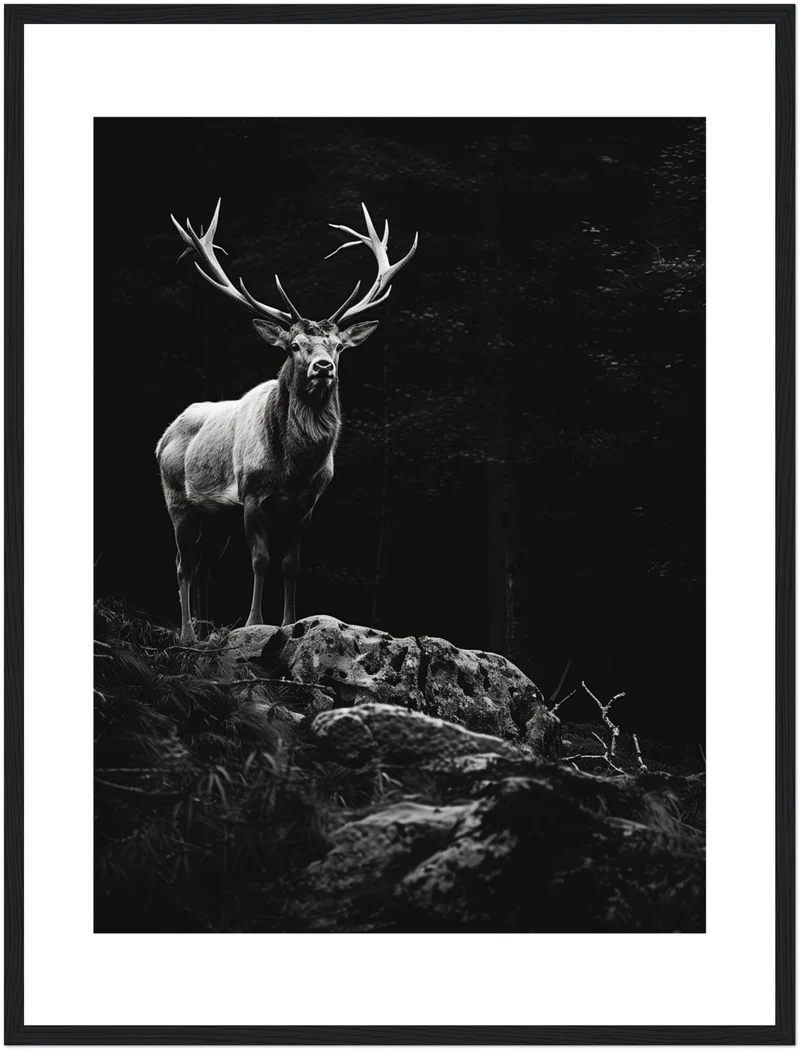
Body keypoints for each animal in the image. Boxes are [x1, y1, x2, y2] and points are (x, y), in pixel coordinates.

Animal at [156, 200, 417, 643]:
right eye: (294, 345)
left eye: (338, 346)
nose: (323, 366)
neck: (294, 468)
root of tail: (162, 436)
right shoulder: (251, 496)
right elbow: (261, 560)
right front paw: (253, 623)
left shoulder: (306, 504)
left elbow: (291, 564)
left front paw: (290, 622)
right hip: (178, 499)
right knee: (182, 565)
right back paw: (188, 634)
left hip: (216, 517)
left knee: (204, 567)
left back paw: (206, 633)